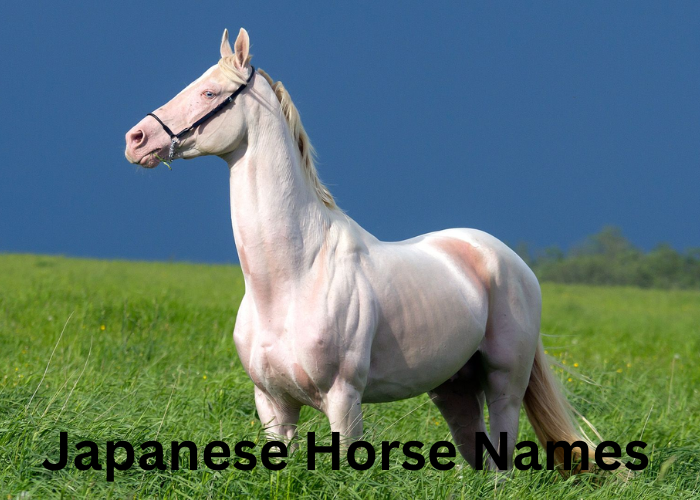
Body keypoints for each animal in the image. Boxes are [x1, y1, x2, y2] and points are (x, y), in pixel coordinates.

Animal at [125, 28, 598, 473]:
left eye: (209, 93)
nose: (136, 139)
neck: (293, 278)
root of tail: (510, 262)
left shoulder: (343, 399)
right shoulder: (273, 403)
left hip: (504, 384)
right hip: (453, 388)